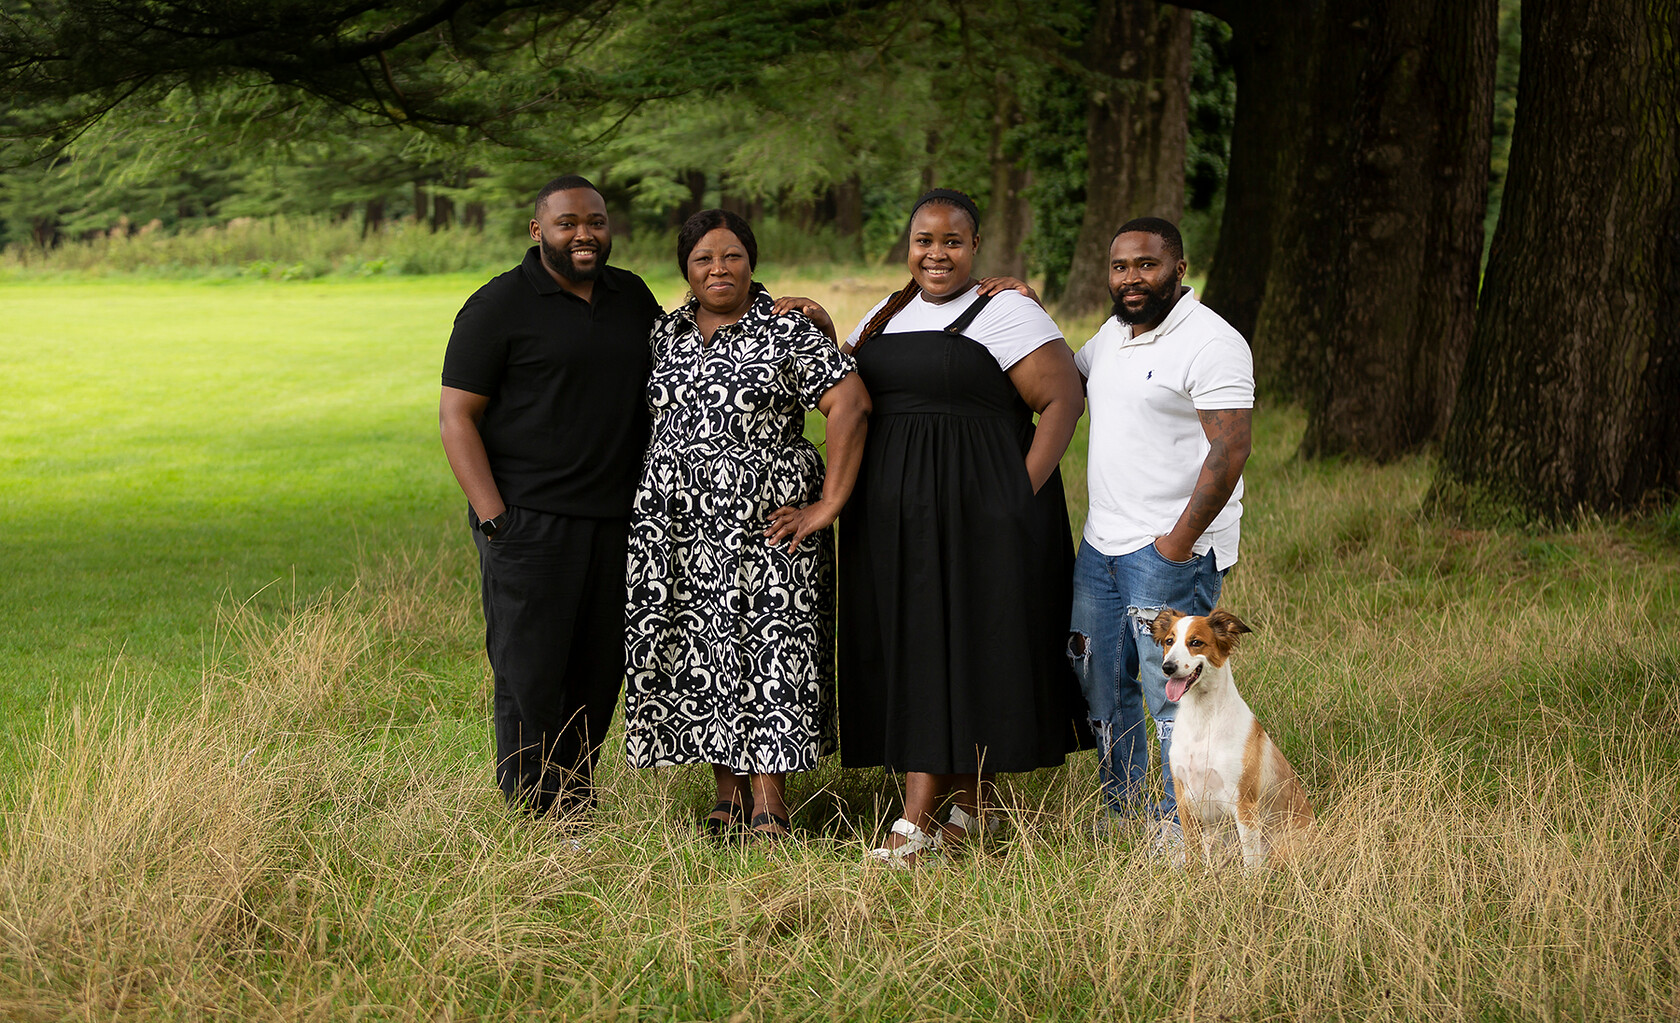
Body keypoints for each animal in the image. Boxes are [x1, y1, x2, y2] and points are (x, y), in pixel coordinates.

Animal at [1155, 611, 1310, 866]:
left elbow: (1251, 864)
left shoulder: (1243, 805)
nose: (1168, 667)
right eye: (1169, 641)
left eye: (1195, 642)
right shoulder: (1185, 801)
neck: (1203, 721)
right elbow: (1193, 856)